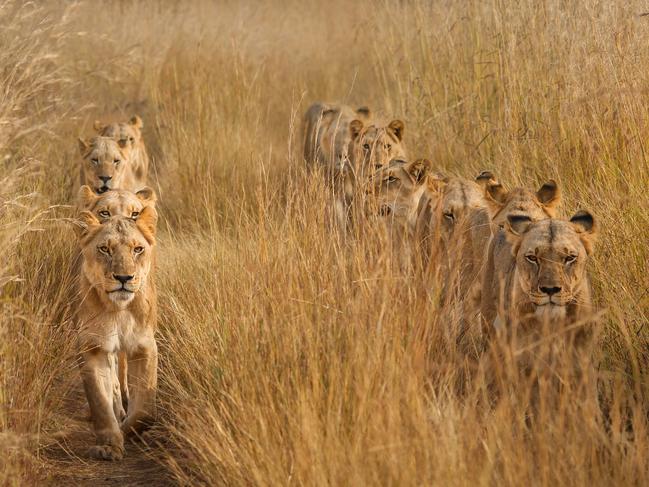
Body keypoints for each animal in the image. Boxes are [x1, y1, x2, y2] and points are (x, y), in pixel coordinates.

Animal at [73, 210, 158, 462]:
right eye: (104, 249)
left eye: (137, 249)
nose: (123, 278)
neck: (119, 310)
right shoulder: (92, 346)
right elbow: (100, 401)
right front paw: (109, 445)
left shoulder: (144, 346)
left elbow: (146, 411)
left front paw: (127, 431)